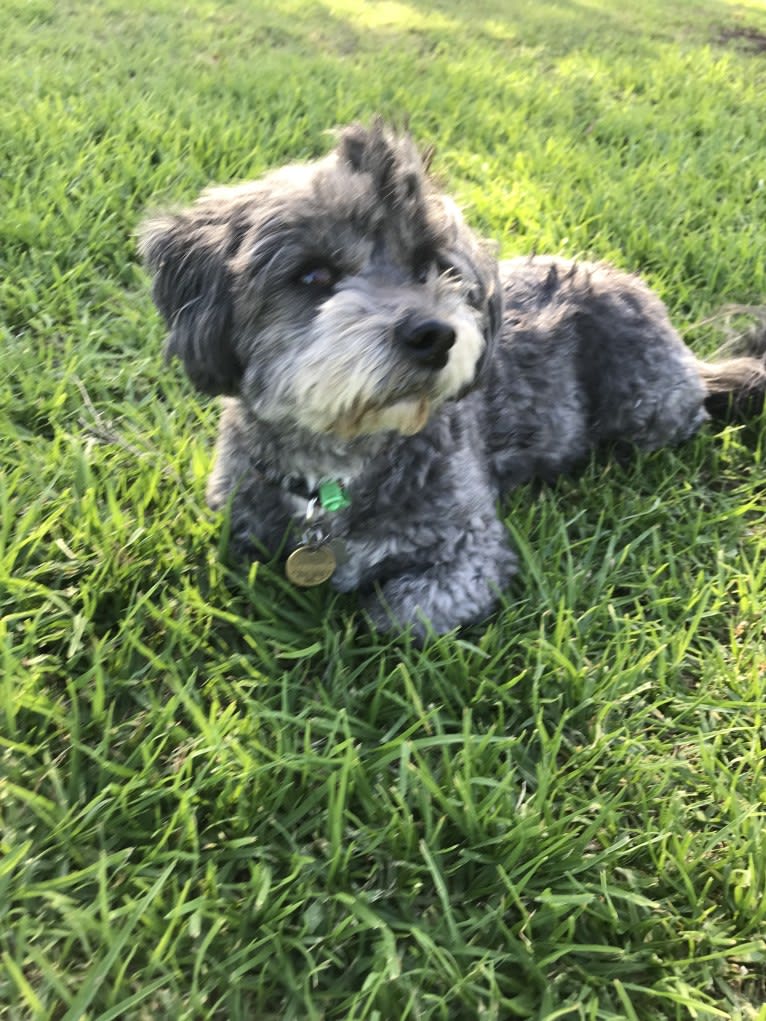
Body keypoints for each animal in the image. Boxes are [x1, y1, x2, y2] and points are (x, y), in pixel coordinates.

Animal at [137, 121, 766, 637]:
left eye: (433, 268)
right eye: (313, 275)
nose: (434, 335)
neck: (339, 465)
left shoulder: (470, 551)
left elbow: (396, 614)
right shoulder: (236, 531)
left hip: (647, 403)